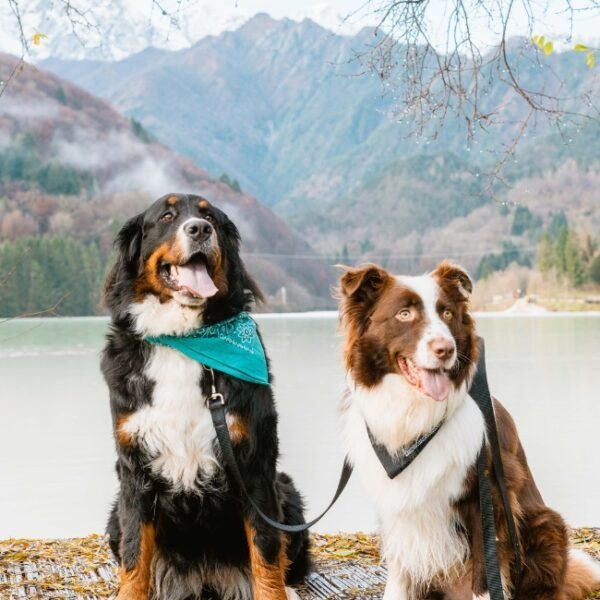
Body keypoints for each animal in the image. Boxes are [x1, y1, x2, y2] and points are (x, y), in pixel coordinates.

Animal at [100, 195, 310, 600]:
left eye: (209, 214)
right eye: (166, 216)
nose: (199, 229)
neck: (183, 341)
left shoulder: (253, 465)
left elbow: (265, 551)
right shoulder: (134, 470)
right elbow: (135, 555)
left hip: (287, 490)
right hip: (114, 510)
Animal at [338, 262, 600, 600]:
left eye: (448, 314)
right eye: (404, 314)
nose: (445, 349)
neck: (418, 416)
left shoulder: (488, 495)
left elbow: (486, 573)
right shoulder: (396, 504)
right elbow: (399, 574)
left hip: (547, 524)